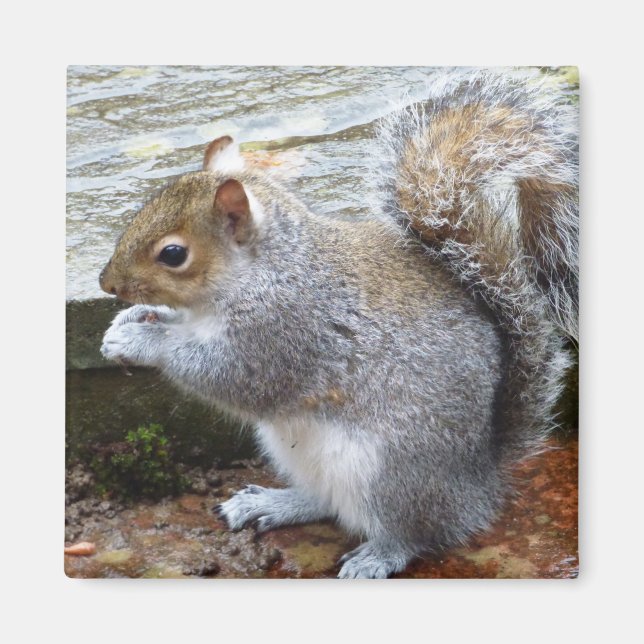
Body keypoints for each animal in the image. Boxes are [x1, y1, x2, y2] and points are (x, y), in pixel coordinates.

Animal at [99, 70, 578, 579]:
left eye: (173, 254)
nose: (105, 283)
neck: (262, 272)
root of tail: (479, 484)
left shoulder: (284, 330)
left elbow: (228, 375)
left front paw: (142, 338)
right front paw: (127, 322)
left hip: (391, 472)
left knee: (416, 531)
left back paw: (378, 554)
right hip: (294, 451)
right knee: (326, 501)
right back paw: (273, 503)